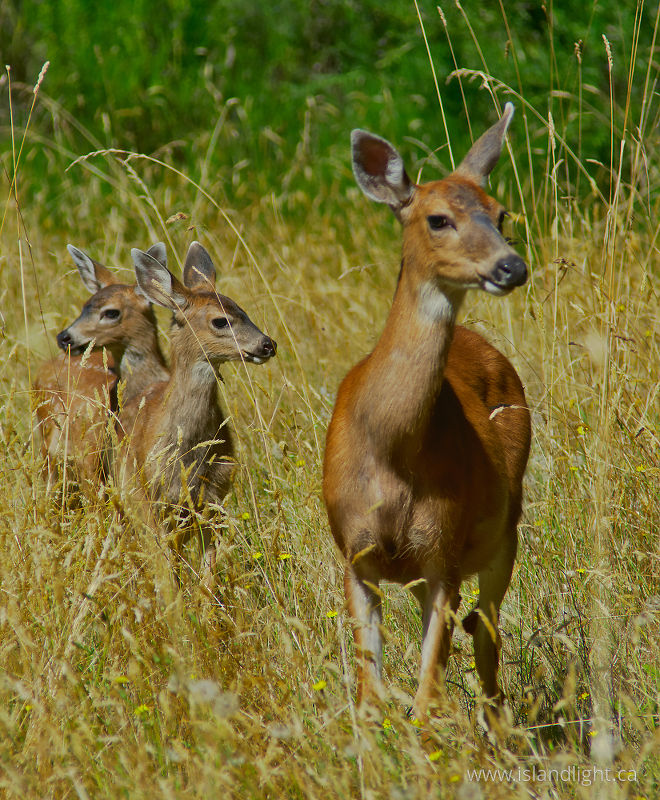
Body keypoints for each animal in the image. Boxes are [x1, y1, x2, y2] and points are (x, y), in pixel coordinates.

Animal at [116, 242, 277, 577]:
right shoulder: (153, 500)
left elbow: (208, 572)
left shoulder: (214, 497)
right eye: (220, 321)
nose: (268, 344)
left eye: (243, 310)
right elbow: (166, 569)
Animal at [323, 103, 531, 721]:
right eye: (438, 219)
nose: (512, 267)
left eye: (500, 213)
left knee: (486, 635)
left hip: (504, 529)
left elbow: (425, 696)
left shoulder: (444, 553)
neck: (393, 451)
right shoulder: (355, 551)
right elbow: (371, 696)